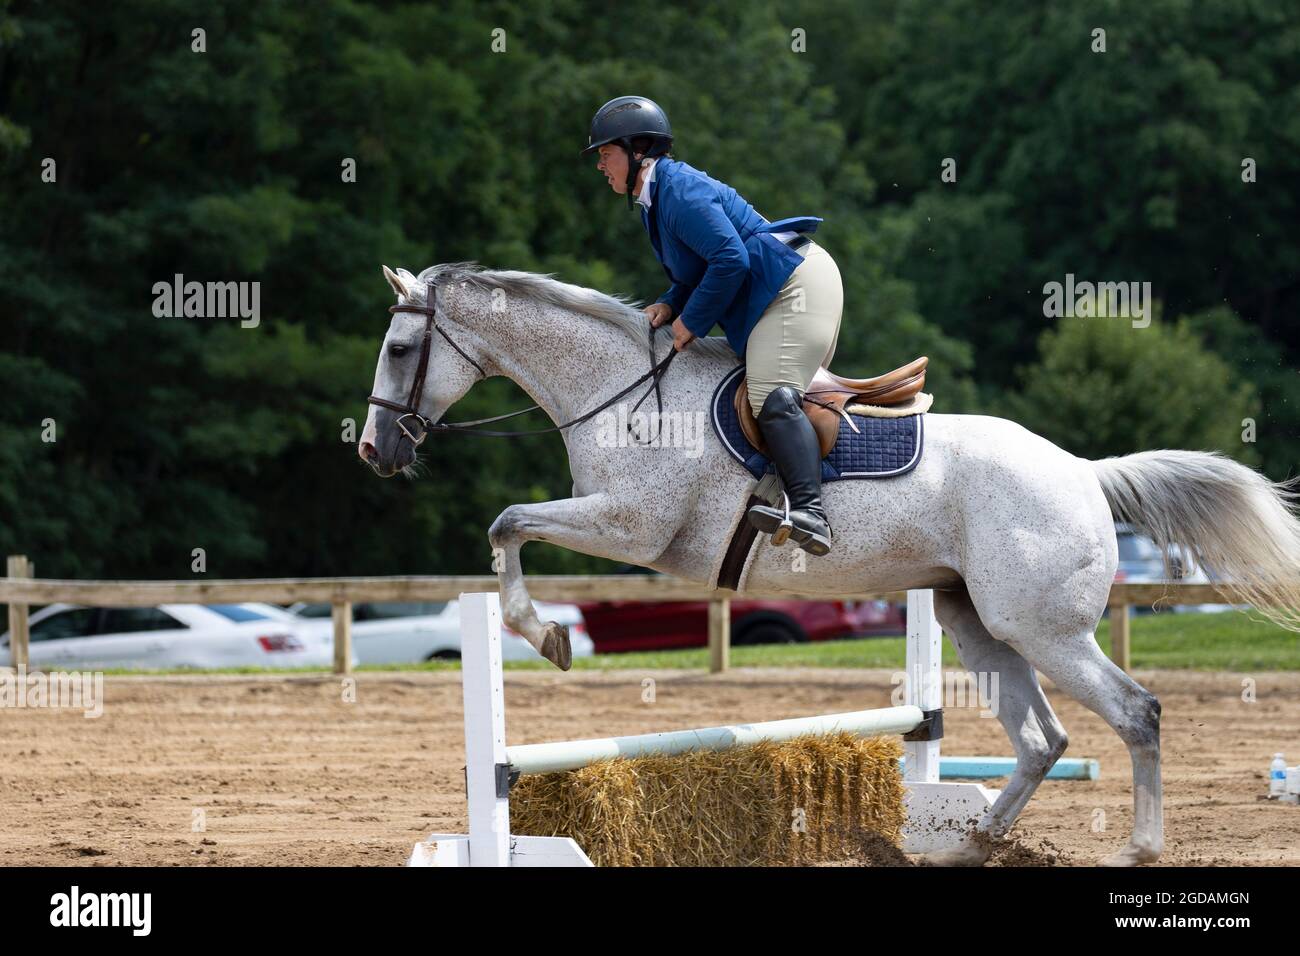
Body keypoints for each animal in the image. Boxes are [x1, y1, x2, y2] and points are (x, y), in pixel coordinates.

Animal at [358, 261, 1300, 868]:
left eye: (401, 352)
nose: (374, 451)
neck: (615, 389)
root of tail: (1083, 471)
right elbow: (511, 526)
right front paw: (545, 633)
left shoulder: (631, 528)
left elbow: (509, 522)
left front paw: (541, 634)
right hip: (975, 621)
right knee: (1044, 740)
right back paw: (969, 846)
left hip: (1040, 626)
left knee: (1135, 713)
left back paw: (1137, 847)